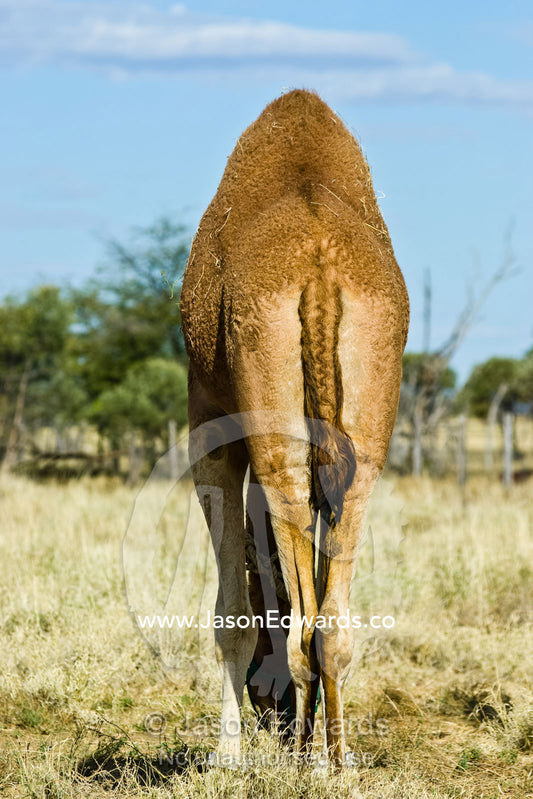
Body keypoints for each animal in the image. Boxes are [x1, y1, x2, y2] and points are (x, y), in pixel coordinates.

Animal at [180, 89, 409, 766]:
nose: (270, 711)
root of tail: (321, 263)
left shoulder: (209, 423)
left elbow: (232, 611)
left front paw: (227, 759)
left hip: (270, 430)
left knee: (302, 621)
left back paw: (304, 759)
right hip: (366, 426)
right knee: (331, 622)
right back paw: (334, 764)